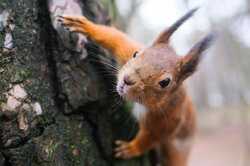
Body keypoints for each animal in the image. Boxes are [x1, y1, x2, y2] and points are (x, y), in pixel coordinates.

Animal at [57, 8, 214, 166]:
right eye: (136, 54)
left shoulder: (170, 116)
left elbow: (153, 136)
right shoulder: (127, 49)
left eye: (165, 82)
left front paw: (131, 148)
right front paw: (85, 26)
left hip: (177, 152)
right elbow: (115, 38)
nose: (127, 80)